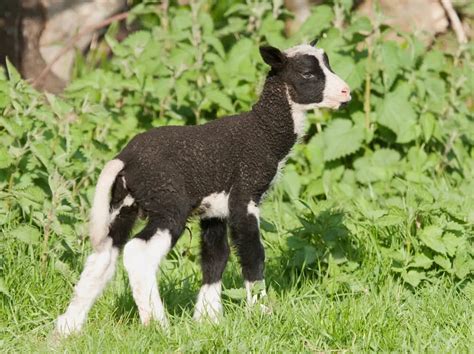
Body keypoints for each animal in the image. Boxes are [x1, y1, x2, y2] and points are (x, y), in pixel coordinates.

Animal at [56, 40, 352, 334]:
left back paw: (66, 329)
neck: (263, 133)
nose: (346, 92)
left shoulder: (215, 210)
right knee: (138, 253)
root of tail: (124, 158)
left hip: (124, 204)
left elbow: (215, 257)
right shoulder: (244, 194)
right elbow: (253, 254)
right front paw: (262, 313)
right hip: (168, 202)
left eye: (328, 64)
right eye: (307, 74)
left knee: (103, 255)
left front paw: (208, 319)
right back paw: (158, 323)